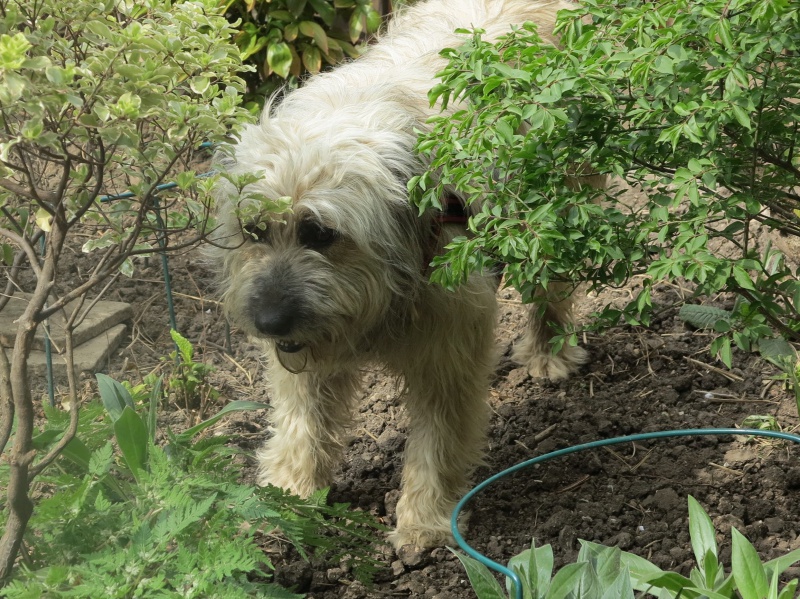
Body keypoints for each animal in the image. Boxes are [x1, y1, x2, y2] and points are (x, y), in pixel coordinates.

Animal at [211, 0, 580, 548]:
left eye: (320, 233)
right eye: (254, 229)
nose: (268, 322)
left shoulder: (449, 347)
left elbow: (438, 438)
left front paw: (425, 519)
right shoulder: (303, 362)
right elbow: (302, 422)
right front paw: (286, 495)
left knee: (551, 286)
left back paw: (547, 351)